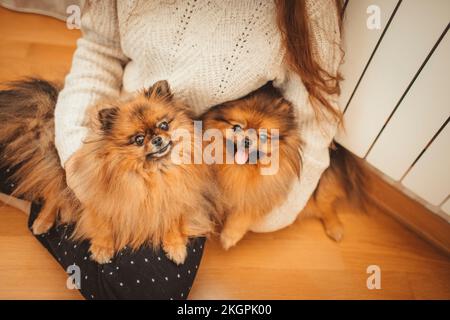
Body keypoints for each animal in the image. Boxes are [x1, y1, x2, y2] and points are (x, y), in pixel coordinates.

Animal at [0, 79, 218, 264]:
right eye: (138, 139)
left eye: (164, 124)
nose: (157, 139)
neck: (153, 173)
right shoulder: (98, 197)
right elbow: (102, 223)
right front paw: (102, 248)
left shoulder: (175, 198)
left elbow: (172, 221)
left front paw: (176, 246)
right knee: (53, 194)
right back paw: (42, 222)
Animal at [202, 82, 368, 250]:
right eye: (236, 127)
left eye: (263, 136)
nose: (247, 141)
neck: (240, 170)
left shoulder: (262, 194)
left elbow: (244, 215)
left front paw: (229, 237)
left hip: (321, 187)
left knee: (326, 206)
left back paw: (335, 229)